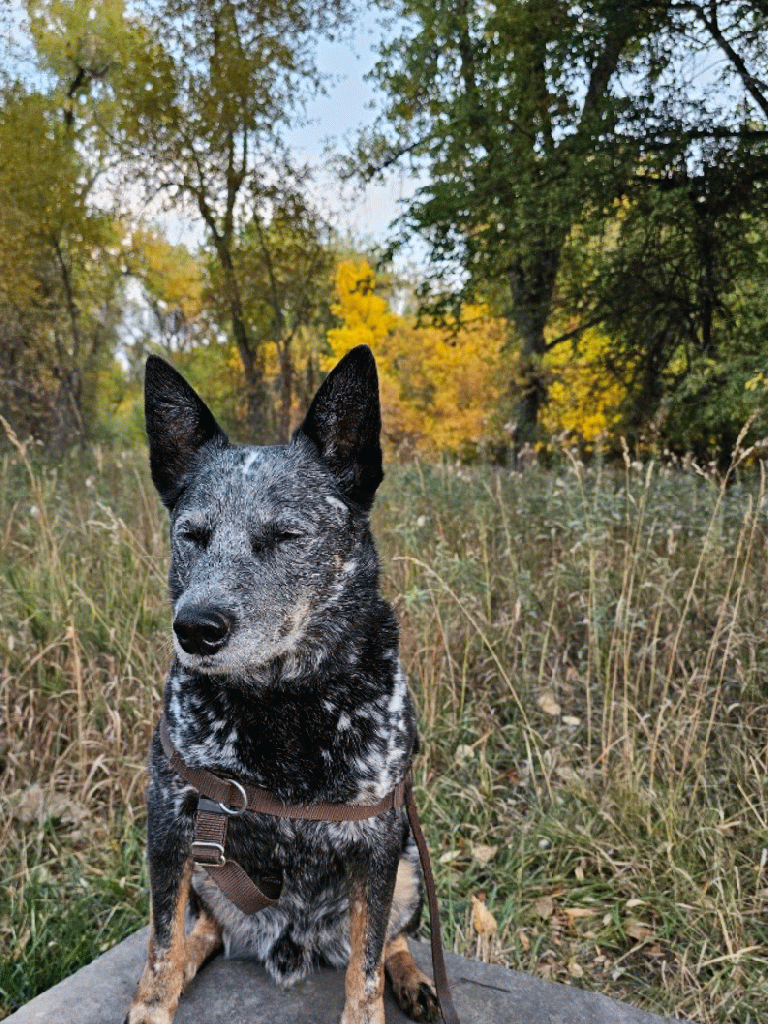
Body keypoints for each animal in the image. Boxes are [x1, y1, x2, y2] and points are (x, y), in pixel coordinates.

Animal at [126, 346, 440, 1024]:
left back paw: (415, 980)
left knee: (391, 938)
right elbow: (160, 944)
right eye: (192, 535)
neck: (282, 707)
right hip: (208, 870)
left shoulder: (379, 841)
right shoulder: (170, 819)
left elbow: (365, 969)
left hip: (408, 867)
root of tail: (292, 938)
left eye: (285, 536)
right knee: (203, 930)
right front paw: (152, 1002)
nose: (195, 627)